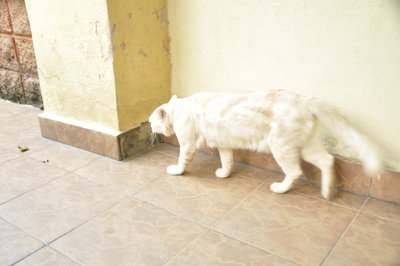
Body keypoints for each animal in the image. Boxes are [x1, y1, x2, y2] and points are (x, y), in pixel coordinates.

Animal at [149, 90, 382, 198]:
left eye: (151, 122)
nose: (150, 128)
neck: (179, 108)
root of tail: (304, 100)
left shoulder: (187, 144)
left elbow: (182, 161)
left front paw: (176, 171)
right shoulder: (224, 144)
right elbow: (227, 161)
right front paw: (224, 174)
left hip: (282, 147)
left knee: (296, 172)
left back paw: (281, 188)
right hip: (305, 146)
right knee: (327, 160)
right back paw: (327, 191)